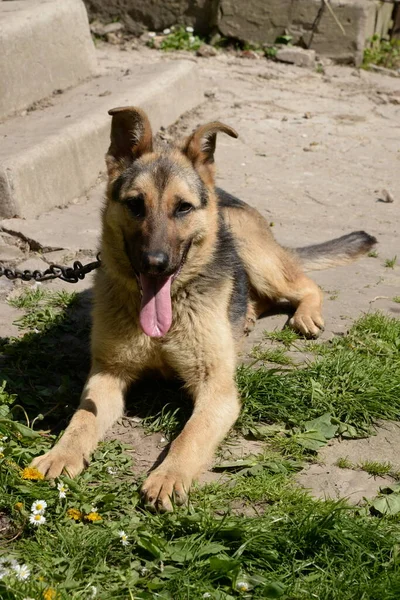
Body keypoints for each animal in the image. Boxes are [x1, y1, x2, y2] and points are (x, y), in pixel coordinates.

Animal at [30, 105, 376, 508]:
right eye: (134, 204)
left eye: (183, 208)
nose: (155, 263)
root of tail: (223, 193)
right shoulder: (108, 374)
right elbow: (82, 419)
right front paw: (61, 454)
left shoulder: (217, 389)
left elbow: (190, 435)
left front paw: (169, 475)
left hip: (253, 252)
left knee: (304, 284)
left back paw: (305, 314)